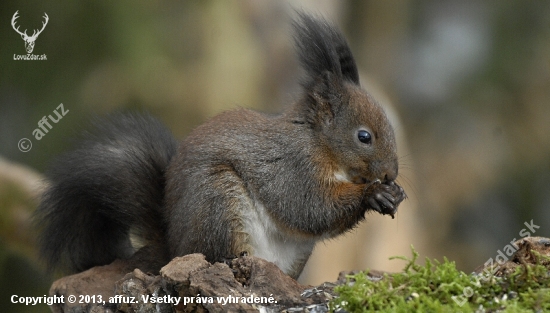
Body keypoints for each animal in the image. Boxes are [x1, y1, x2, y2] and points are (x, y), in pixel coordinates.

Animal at [33, 13, 406, 280]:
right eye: (364, 136)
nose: (391, 173)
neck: (319, 142)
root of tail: (174, 247)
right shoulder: (291, 165)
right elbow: (308, 206)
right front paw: (373, 194)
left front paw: (394, 193)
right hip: (218, 202)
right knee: (216, 254)